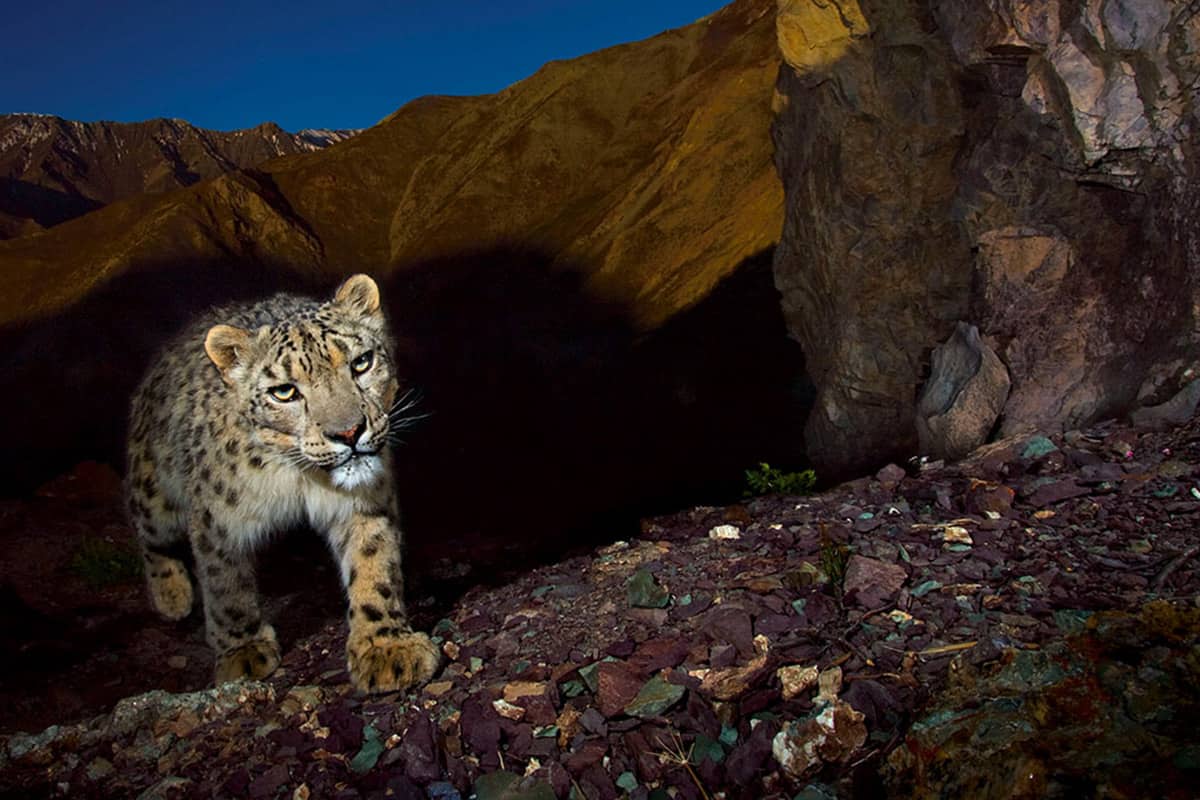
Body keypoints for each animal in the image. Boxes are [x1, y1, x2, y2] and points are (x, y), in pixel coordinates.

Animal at [125, 273, 440, 693]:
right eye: (284, 391)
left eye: (361, 363)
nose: (349, 432)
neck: (301, 480)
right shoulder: (217, 521)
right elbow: (226, 586)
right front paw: (242, 652)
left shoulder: (363, 503)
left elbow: (375, 566)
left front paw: (386, 647)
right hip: (155, 497)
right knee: (148, 532)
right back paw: (171, 595)